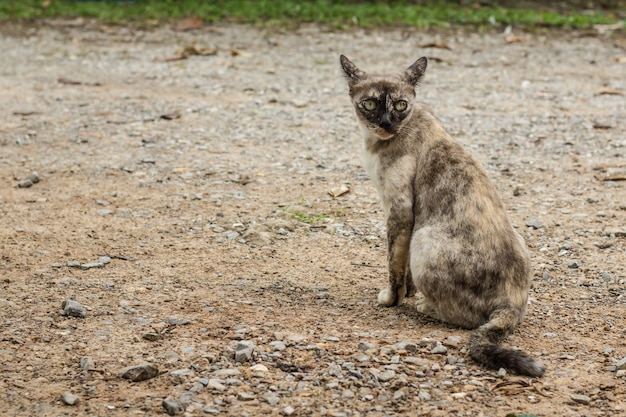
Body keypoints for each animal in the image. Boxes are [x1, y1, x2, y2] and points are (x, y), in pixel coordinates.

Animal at [342, 53, 540, 376]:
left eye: (400, 106)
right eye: (370, 104)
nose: (386, 123)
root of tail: (512, 303)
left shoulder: (398, 211)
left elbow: (393, 264)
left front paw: (393, 299)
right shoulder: (407, 222)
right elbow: (403, 268)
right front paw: (409, 292)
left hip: (426, 240)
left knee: (468, 321)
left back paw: (427, 306)